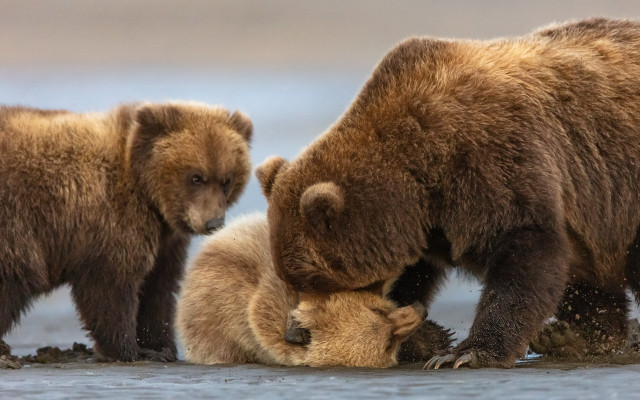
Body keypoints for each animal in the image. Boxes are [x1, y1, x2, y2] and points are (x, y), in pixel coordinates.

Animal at [0, 101, 252, 369]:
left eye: (226, 180)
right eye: (196, 177)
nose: (213, 222)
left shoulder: (165, 240)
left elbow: (158, 287)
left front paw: (160, 347)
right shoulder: (113, 218)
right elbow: (112, 282)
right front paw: (128, 350)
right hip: (17, 219)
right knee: (16, 273)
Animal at [255, 17, 640, 369]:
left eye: (313, 279)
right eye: (288, 279)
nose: (294, 331)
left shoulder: (492, 158)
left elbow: (525, 249)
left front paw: (466, 353)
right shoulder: (430, 221)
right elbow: (413, 274)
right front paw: (424, 337)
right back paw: (576, 335)